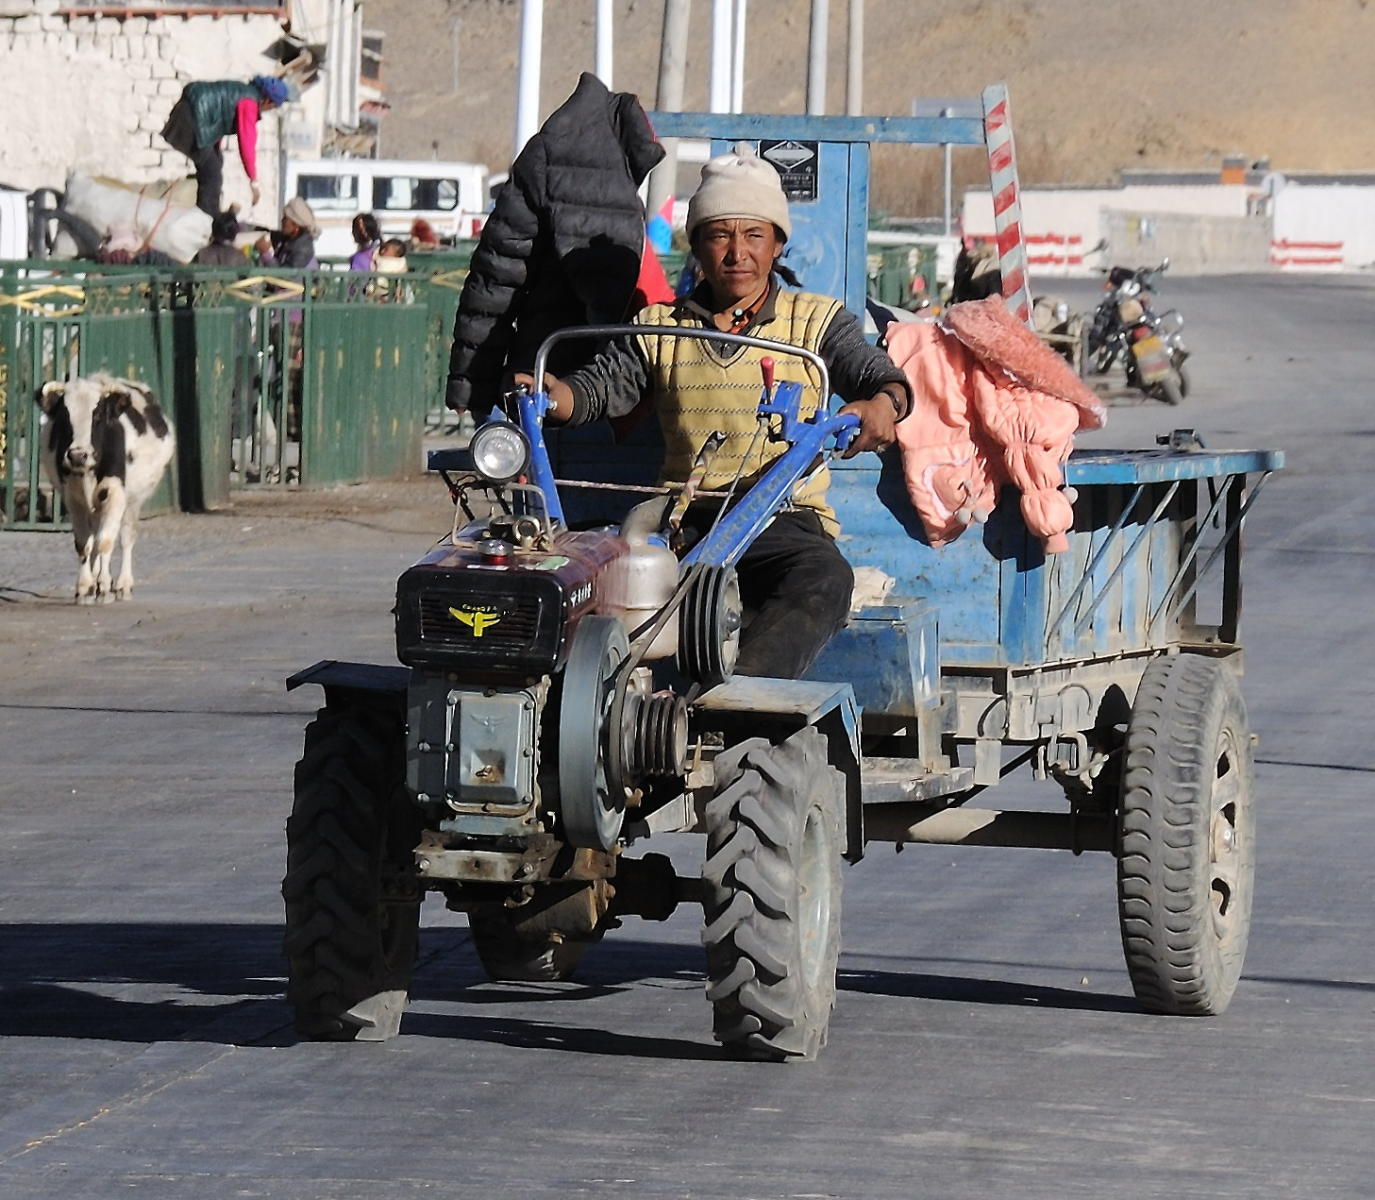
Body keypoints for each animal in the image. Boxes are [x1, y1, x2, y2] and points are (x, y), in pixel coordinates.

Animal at [35, 371, 177, 604]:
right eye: (64, 418)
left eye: (98, 416)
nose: (77, 455)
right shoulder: (73, 498)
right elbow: (84, 543)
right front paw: (85, 587)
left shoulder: (115, 494)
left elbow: (105, 541)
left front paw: (104, 586)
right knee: (95, 538)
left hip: (133, 502)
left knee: (126, 538)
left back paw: (122, 584)